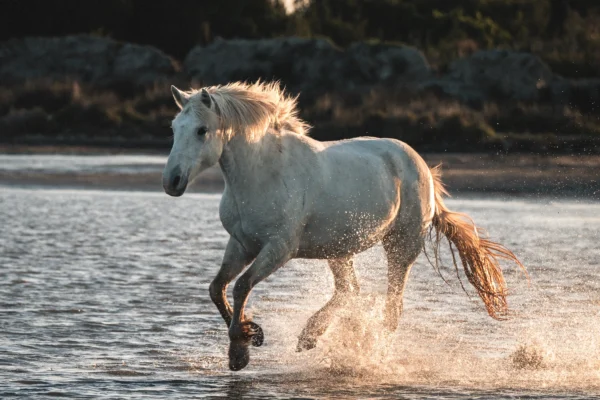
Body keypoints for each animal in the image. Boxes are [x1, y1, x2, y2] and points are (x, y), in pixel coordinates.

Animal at [162, 81, 524, 372]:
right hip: (338, 249)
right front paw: (250, 338)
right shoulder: (241, 244)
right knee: (350, 291)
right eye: (174, 128)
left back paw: (367, 355)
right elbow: (217, 288)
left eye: (201, 130)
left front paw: (241, 348)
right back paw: (310, 337)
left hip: (400, 248)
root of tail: (422, 167)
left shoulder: (278, 249)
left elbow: (240, 287)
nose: (171, 182)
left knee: (391, 309)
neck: (261, 175)